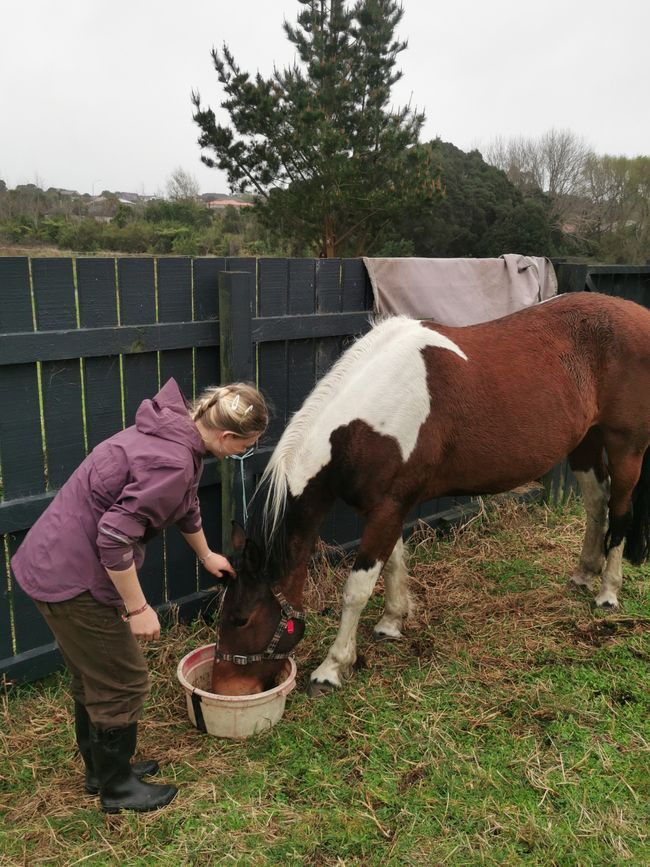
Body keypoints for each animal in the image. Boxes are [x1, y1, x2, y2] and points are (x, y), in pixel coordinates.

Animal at [210, 294, 648, 696]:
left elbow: (357, 589)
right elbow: (393, 563)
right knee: (596, 504)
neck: (364, 425)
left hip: (625, 446)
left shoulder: (388, 508)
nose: (224, 689)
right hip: (586, 442)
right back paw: (583, 574)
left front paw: (332, 668)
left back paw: (608, 592)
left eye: (240, 619)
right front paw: (392, 622)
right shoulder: (385, 507)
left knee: (620, 511)